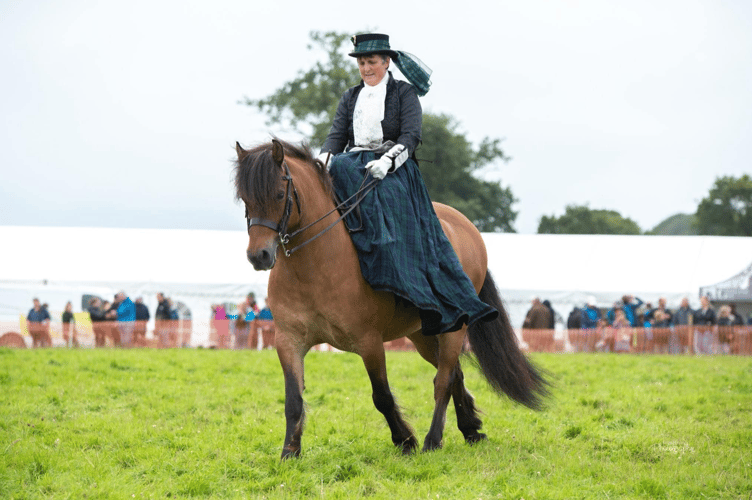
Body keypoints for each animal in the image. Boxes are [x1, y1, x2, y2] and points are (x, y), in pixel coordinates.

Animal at [235, 139, 548, 458]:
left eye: (279, 193)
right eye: (244, 198)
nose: (259, 256)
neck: (314, 265)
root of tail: (466, 225)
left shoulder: (369, 342)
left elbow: (382, 395)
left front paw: (405, 440)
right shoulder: (288, 341)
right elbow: (293, 399)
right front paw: (290, 451)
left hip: (453, 329)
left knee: (444, 379)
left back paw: (433, 440)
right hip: (424, 334)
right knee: (456, 374)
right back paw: (470, 429)